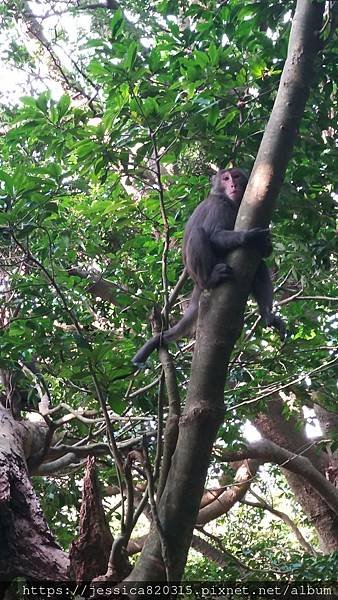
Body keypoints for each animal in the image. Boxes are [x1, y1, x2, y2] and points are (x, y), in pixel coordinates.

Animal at [132, 166, 286, 368]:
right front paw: (249, 236)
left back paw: (267, 315)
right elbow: (214, 234)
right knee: (199, 234)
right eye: (226, 178)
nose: (233, 184)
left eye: (236, 176)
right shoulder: (218, 206)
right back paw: (211, 279)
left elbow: (263, 253)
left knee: (257, 264)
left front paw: (266, 245)